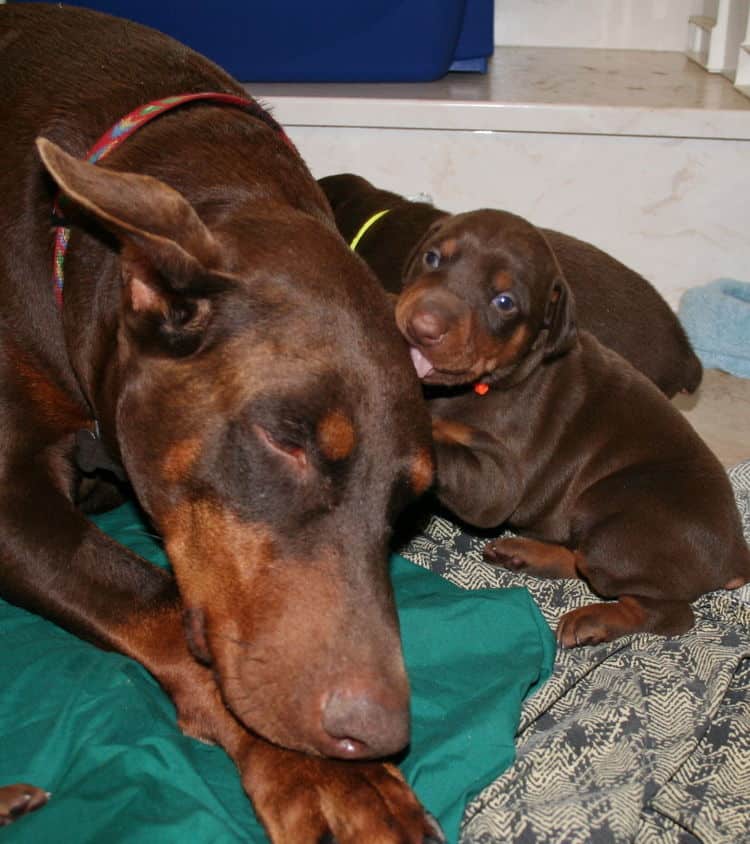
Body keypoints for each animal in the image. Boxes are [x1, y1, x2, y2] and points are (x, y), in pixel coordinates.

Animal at [394, 206, 750, 648]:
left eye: (504, 302)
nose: (423, 326)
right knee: (578, 556)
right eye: (432, 258)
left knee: (667, 611)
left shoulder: (498, 482)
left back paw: (594, 619)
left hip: (616, 531)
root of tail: (737, 552)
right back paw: (526, 554)